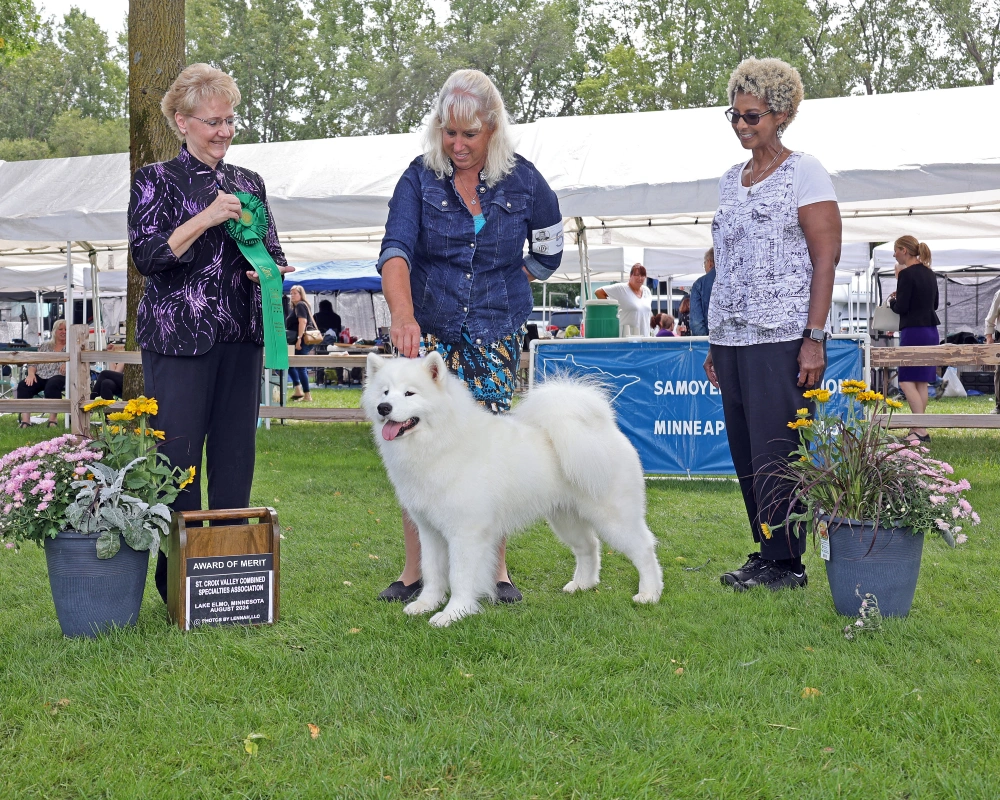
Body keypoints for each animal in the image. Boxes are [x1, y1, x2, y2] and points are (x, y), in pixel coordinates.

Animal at [364, 354, 660, 628]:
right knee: (589, 546)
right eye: (385, 391)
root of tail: (605, 428)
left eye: (410, 393)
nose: (383, 407)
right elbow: (432, 571)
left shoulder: (466, 532)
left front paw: (454, 612)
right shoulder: (430, 531)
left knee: (644, 548)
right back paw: (581, 585)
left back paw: (649, 594)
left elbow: (460, 576)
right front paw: (426, 604)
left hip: (614, 517)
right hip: (566, 519)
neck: (442, 442)